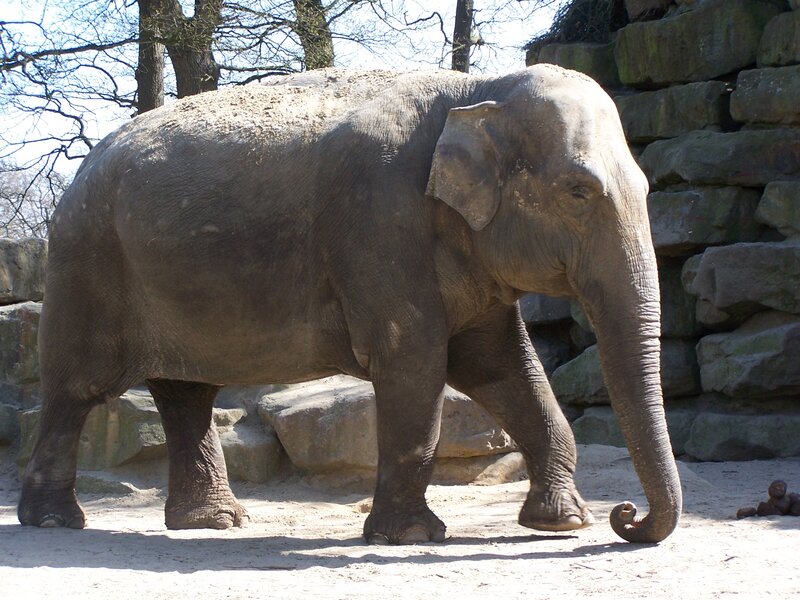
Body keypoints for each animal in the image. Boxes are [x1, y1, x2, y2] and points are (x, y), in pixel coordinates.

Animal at [18, 65, 681, 544]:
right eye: (578, 192)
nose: (626, 517)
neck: (477, 90)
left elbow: (503, 367)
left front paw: (560, 523)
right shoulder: (379, 220)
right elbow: (415, 361)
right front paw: (411, 537)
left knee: (186, 394)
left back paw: (213, 524)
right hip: (86, 259)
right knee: (78, 388)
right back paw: (54, 522)